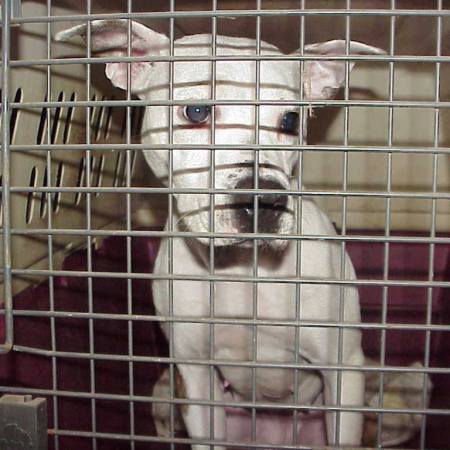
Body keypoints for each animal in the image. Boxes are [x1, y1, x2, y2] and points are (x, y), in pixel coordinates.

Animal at [56, 20, 384, 448]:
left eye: (291, 121)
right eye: (196, 111)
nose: (263, 200)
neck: (242, 268)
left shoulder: (343, 370)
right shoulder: (196, 377)